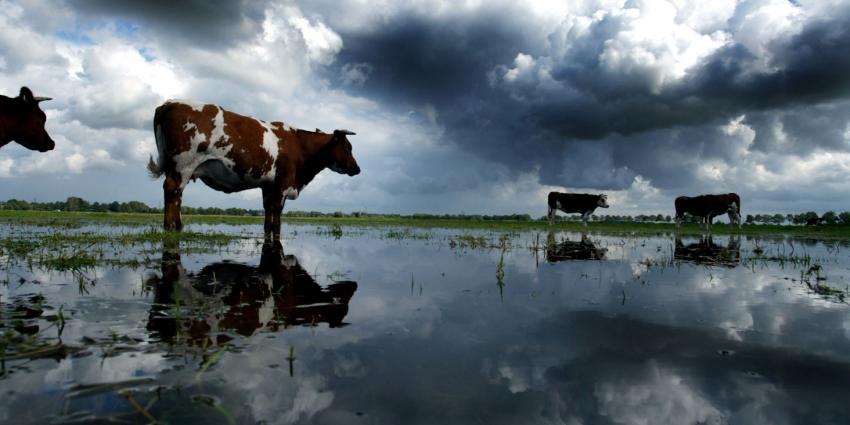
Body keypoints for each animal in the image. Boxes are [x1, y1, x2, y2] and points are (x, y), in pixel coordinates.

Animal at [147, 100, 360, 238]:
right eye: (347, 147)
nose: (357, 169)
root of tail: (168, 104)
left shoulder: (268, 186)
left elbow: (268, 212)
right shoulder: (283, 183)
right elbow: (277, 213)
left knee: (177, 196)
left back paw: (178, 225)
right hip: (183, 164)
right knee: (172, 191)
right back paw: (170, 227)